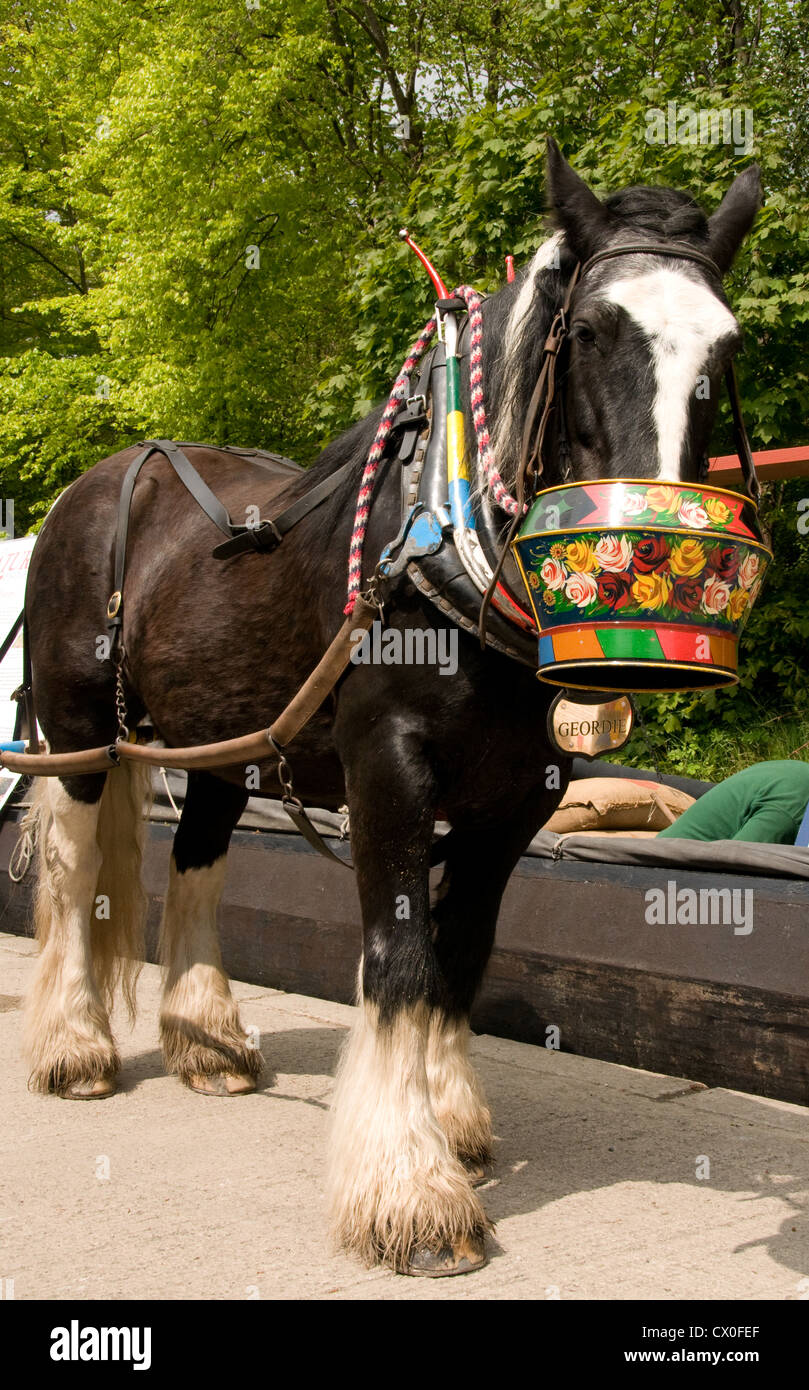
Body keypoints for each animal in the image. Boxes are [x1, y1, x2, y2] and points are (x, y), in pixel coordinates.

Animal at [22, 138, 761, 1273]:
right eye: (589, 329)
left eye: (723, 348)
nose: (642, 549)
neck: (446, 543)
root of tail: (107, 476)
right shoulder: (389, 769)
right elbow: (401, 958)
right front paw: (410, 1193)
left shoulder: (519, 795)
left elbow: (459, 953)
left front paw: (450, 1122)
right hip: (78, 733)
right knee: (69, 872)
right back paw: (74, 1048)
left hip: (223, 742)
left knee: (197, 860)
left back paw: (209, 1041)